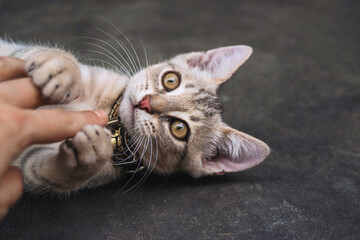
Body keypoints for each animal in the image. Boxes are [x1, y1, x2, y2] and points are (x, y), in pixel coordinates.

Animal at [0, 39, 270, 193]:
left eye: (179, 129)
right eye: (171, 80)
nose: (146, 103)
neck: (113, 121)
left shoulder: (27, 164)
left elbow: (47, 172)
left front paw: (87, 154)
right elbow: (34, 52)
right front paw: (61, 68)